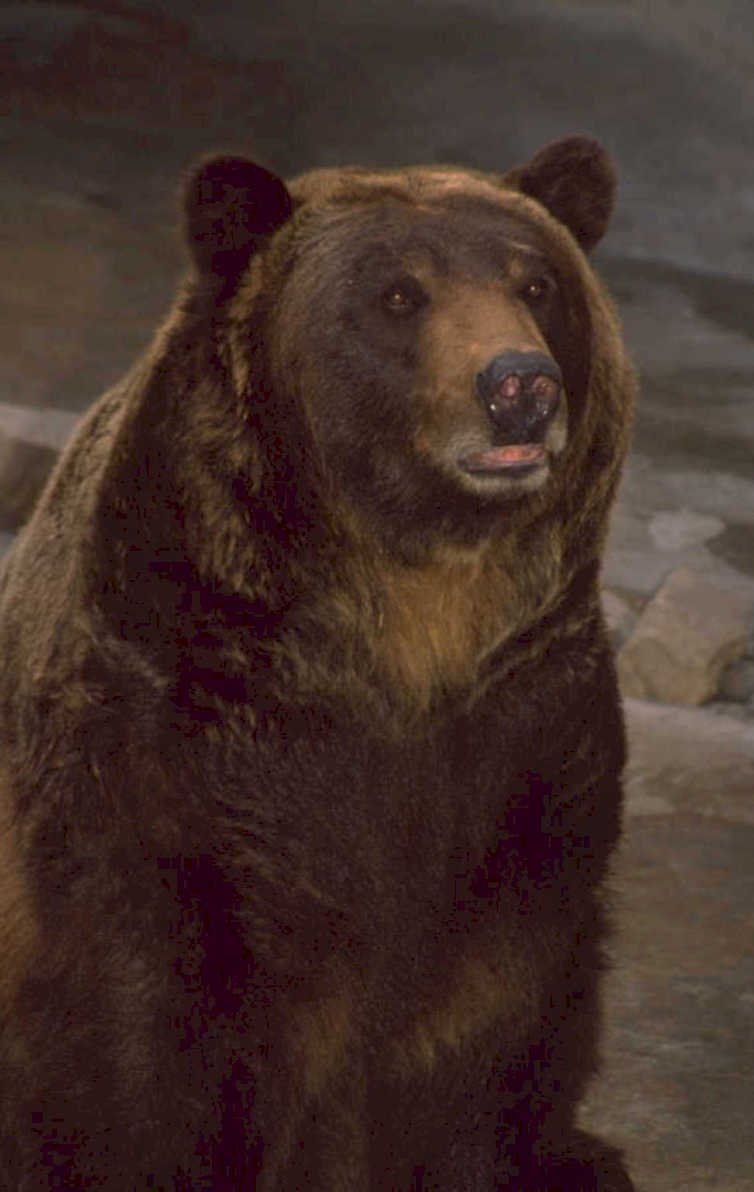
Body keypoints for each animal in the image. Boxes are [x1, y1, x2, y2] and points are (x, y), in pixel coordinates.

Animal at [0, 135, 635, 1190]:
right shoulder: (178, 747)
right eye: (397, 294)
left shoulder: (525, 746)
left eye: (538, 283)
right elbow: (146, 1052)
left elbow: (490, 1041)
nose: (519, 386)